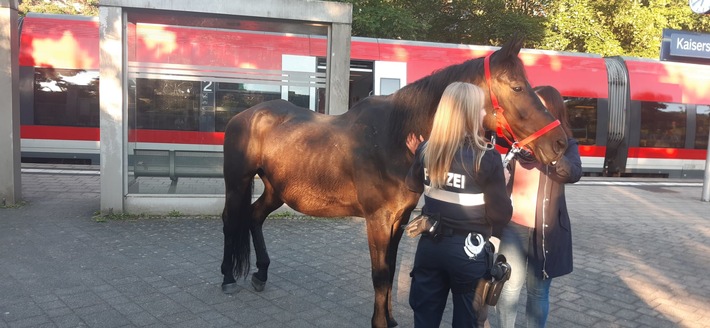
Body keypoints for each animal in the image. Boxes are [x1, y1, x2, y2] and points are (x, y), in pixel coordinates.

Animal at [221, 36, 568, 328]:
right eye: (518, 87)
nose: (560, 143)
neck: (394, 136)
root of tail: (245, 116)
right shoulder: (377, 219)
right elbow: (381, 273)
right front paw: (380, 321)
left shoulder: (398, 219)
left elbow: (389, 268)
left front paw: (389, 317)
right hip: (237, 183)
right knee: (230, 220)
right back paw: (227, 278)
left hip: (275, 189)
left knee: (254, 217)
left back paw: (260, 273)